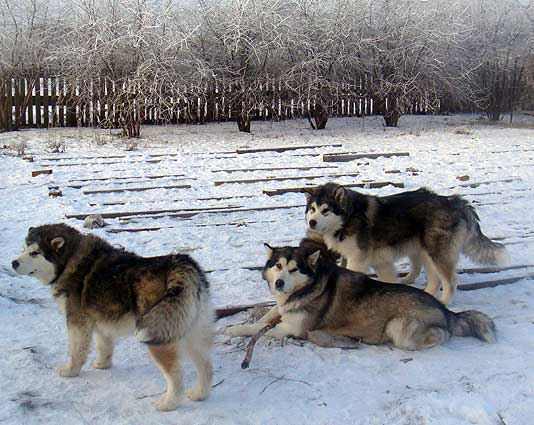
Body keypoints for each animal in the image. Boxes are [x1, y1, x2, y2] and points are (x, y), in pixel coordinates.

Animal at [11, 224, 215, 410]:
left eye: (35, 253)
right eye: (23, 249)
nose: (14, 262)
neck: (70, 260)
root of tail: (183, 265)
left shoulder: (77, 321)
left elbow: (77, 351)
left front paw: (71, 371)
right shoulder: (101, 319)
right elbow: (104, 345)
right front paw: (103, 364)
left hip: (158, 336)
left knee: (176, 375)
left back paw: (168, 403)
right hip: (188, 330)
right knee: (205, 365)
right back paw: (200, 394)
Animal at [226, 243, 498, 350]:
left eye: (295, 269)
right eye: (279, 266)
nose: (280, 282)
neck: (306, 289)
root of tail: (445, 310)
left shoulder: (293, 329)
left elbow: (259, 330)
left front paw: (233, 330)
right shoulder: (281, 310)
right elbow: (266, 317)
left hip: (399, 327)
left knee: (440, 335)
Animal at [306, 181, 510, 304]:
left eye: (325, 210)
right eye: (312, 209)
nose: (312, 222)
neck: (348, 217)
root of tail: (455, 201)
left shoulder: (358, 259)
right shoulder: (375, 260)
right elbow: (388, 278)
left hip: (438, 253)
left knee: (450, 281)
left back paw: (443, 302)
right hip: (426, 253)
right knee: (435, 278)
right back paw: (428, 296)